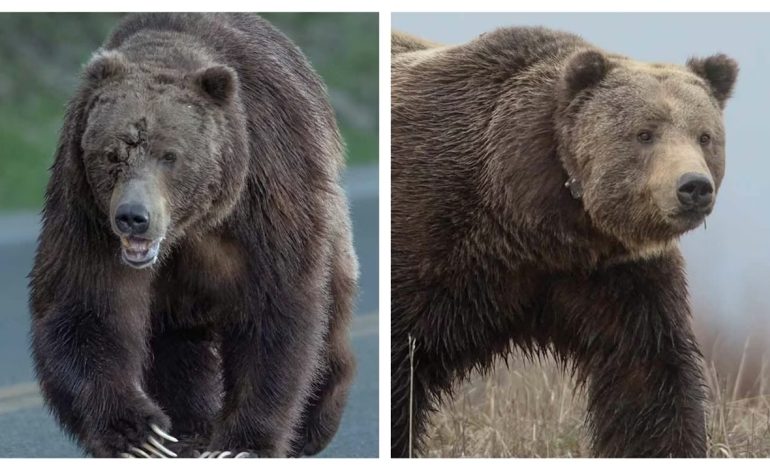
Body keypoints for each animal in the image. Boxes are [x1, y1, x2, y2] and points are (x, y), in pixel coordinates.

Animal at [28, 13, 358, 458]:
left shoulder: (267, 189)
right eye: (113, 153)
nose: (133, 217)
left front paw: (242, 444)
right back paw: (190, 431)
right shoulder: (85, 209)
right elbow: (84, 305)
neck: (193, 224)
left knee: (330, 313)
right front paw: (142, 436)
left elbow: (275, 309)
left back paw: (312, 424)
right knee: (176, 347)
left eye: (170, 155)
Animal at [390, 27, 737, 458]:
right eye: (644, 133)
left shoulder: (613, 276)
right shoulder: (434, 239)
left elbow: (648, 373)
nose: (693, 187)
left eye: (705, 136)